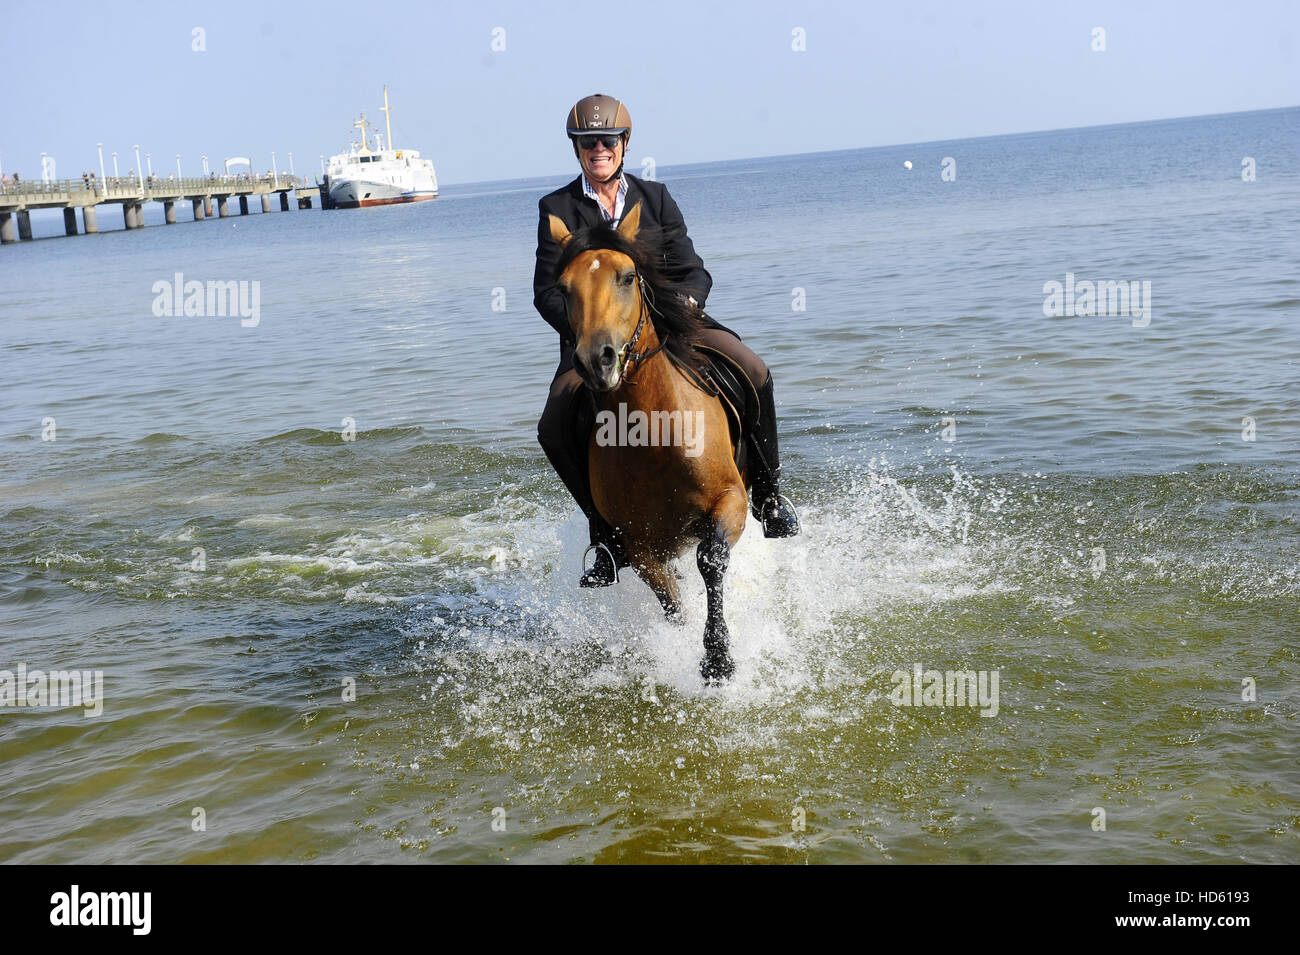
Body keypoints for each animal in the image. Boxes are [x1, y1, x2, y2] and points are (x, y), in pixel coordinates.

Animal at [551, 203, 754, 680]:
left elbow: (711, 559)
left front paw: (718, 659)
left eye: (628, 277)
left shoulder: (731, 500)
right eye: (563, 289)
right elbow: (671, 603)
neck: (655, 435)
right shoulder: (640, 546)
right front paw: (691, 649)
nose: (596, 360)